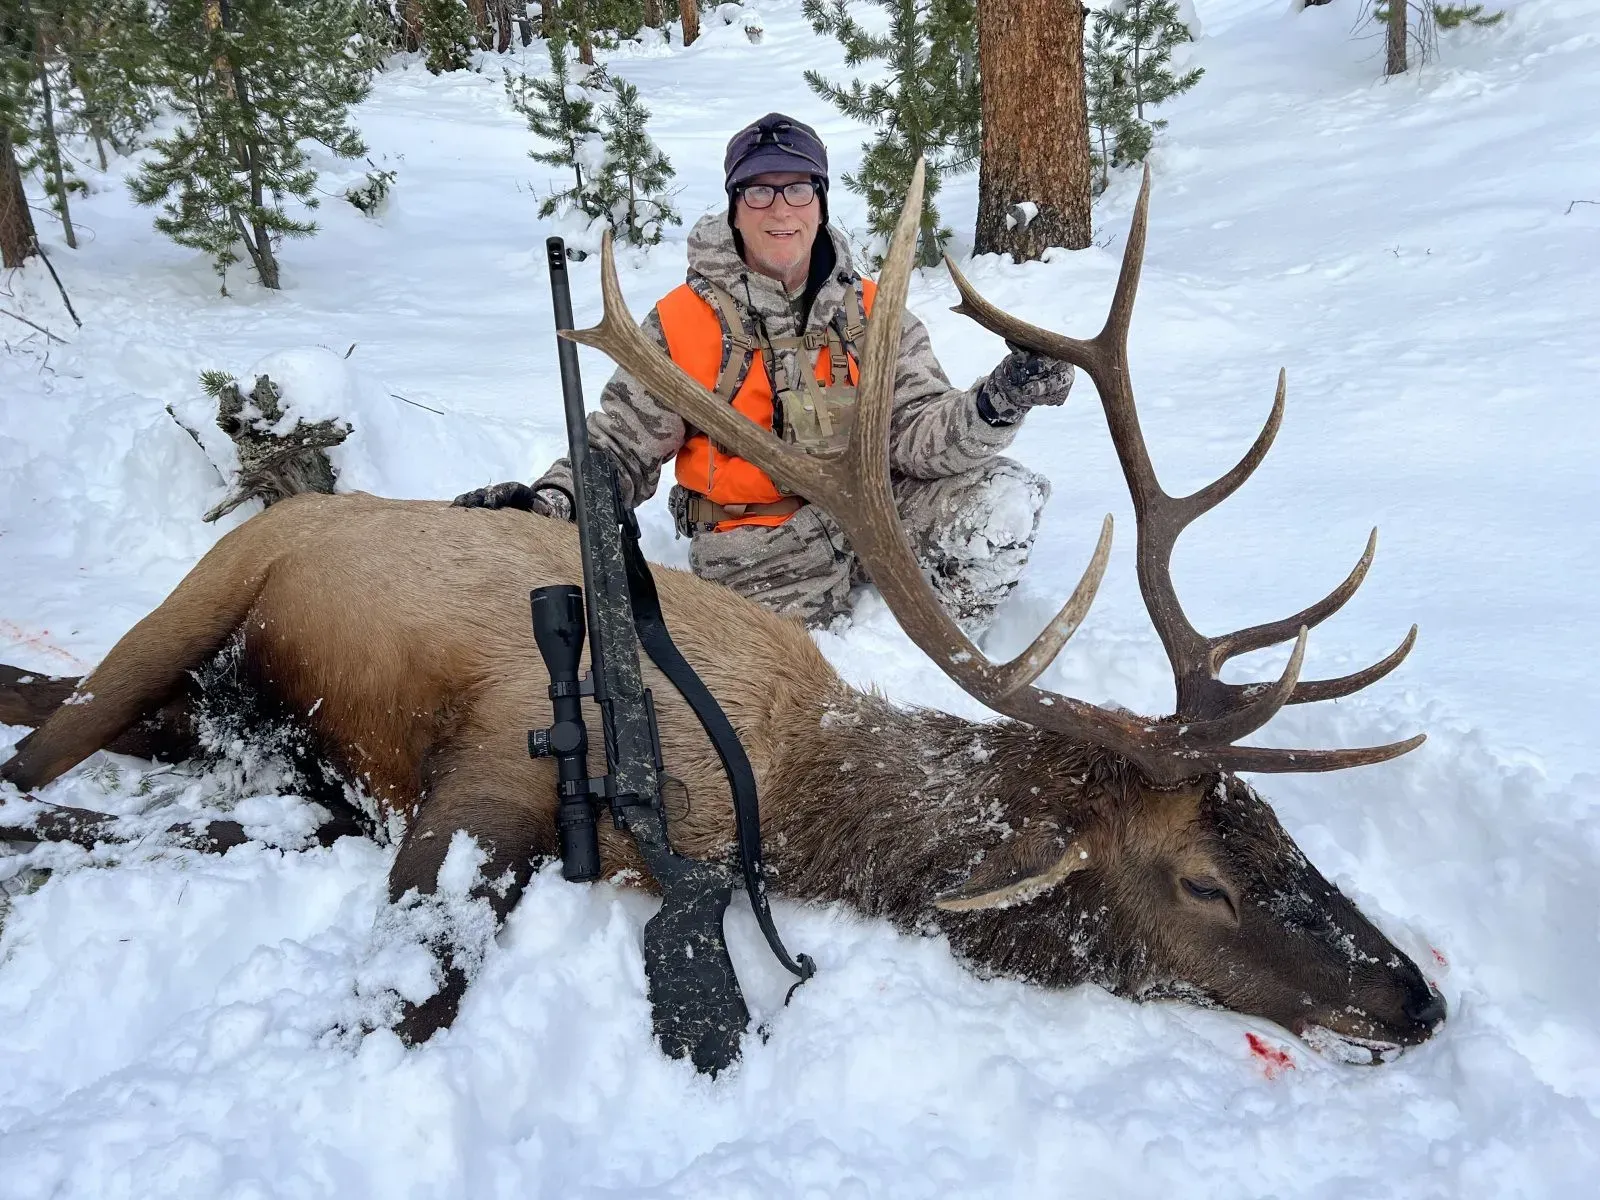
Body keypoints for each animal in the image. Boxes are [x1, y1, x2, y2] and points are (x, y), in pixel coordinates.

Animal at [0, 165, 1445, 1065]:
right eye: (1203, 879)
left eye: (1284, 832)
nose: (1417, 995)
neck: (770, 791)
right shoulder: (491, 768)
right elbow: (406, 995)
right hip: (204, 599)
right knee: (42, 755)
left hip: (221, 712)